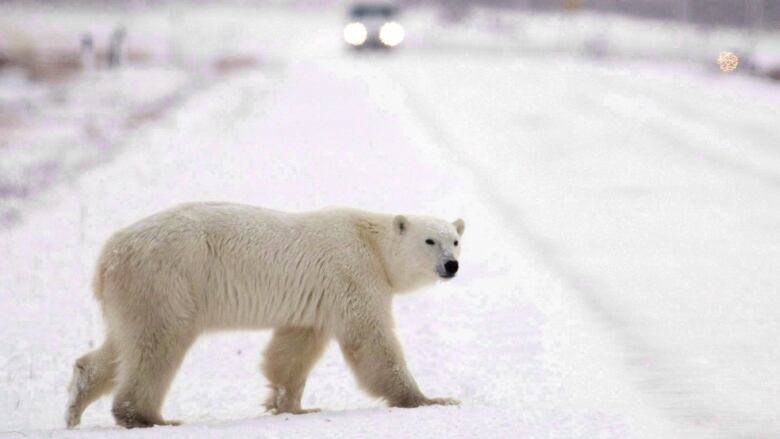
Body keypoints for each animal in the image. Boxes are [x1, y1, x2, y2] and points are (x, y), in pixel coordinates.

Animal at [65, 204, 464, 430]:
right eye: (430, 240)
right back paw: (148, 418)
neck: (373, 243)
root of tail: (107, 256)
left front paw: (293, 406)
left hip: (134, 293)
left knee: (120, 345)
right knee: (158, 342)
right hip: (166, 279)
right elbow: (371, 340)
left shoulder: (316, 299)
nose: (452, 265)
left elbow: (293, 349)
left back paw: (76, 404)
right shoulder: (353, 273)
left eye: (456, 240)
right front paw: (430, 399)